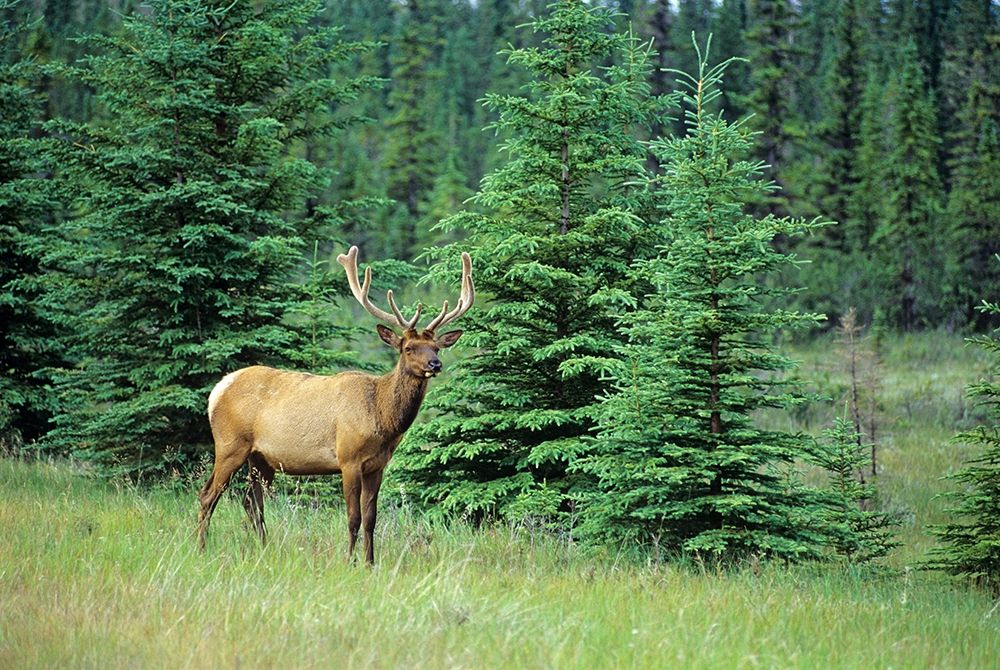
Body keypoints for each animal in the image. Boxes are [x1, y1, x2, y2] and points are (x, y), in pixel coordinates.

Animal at [199, 245, 476, 560]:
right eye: (408, 348)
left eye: (436, 347)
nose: (435, 364)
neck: (382, 418)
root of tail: (217, 390)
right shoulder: (348, 459)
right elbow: (353, 517)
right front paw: (349, 561)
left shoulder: (377, 466)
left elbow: (371, 519)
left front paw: (370, 562)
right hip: (230, 445)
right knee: (208, 495)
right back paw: (201, 548)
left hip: (261, 458)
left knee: (251, 502)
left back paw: (264, 548)